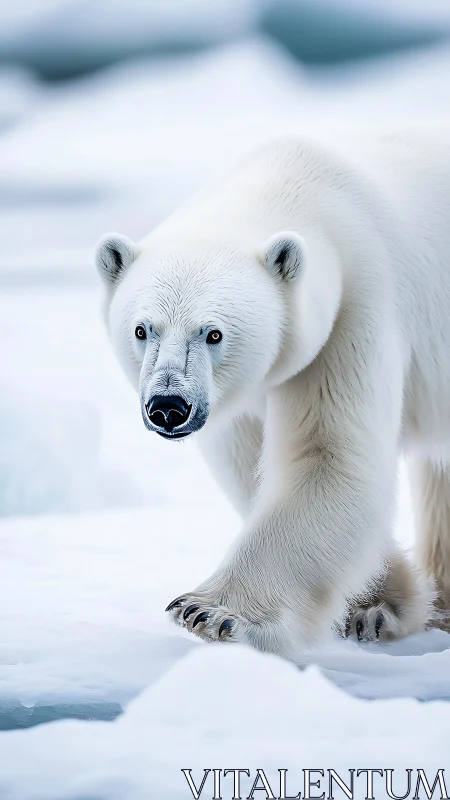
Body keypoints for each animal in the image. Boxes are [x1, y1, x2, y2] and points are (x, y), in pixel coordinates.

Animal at [94, 128, 450, 658]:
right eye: (142, 329)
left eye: (213, 333)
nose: (168, 406)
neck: (303, 188)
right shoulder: (240, 395)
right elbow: (252, 463)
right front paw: (379, 601)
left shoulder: (355, 308)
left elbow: (329, 455)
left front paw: (209, 612)